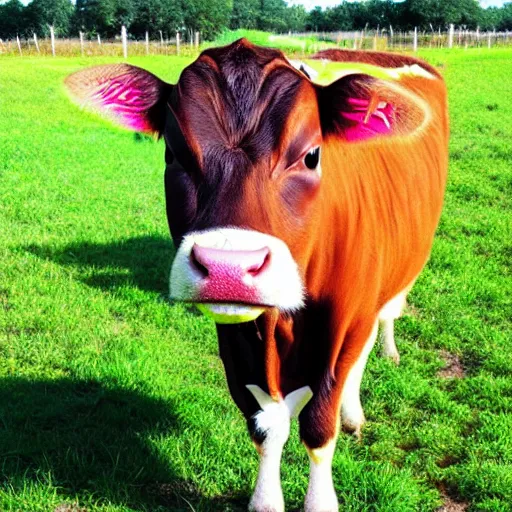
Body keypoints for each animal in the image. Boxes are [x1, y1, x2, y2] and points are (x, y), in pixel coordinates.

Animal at [67, 40, 448, 512]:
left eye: (312, 155)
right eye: (172, 153)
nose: (228, 267)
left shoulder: (341, 321)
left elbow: (318, 426)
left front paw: (321, 497)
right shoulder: (237, 341)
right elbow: (266, 425)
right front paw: (266, 500)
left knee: (379, 326)